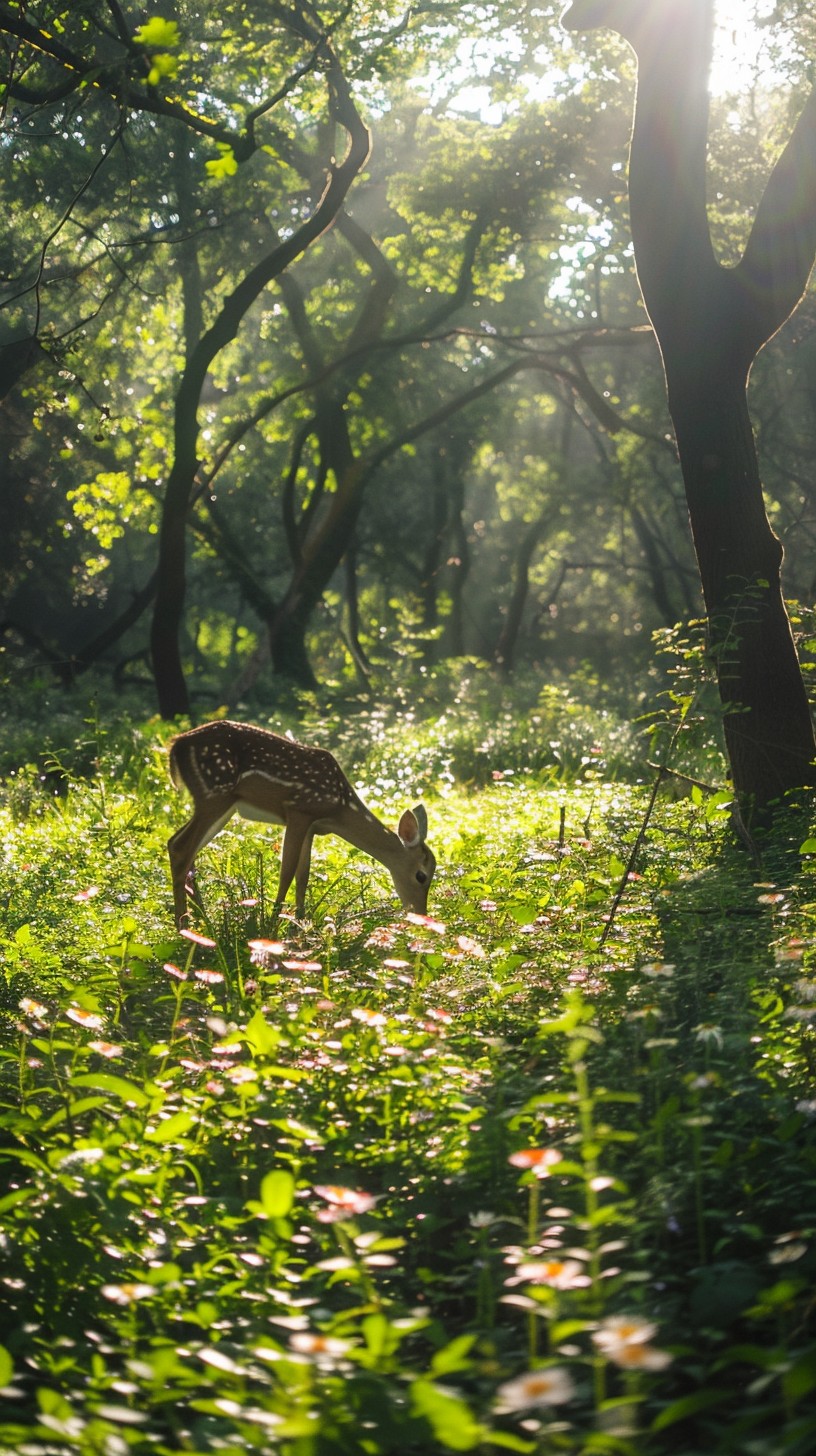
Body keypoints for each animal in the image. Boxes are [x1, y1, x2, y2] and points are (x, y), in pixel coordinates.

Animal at [167, 720, 436, 928]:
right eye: (421, 876)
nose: (421, 916)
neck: (338, 809)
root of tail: (176, 745)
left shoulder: (311, 827)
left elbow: (302, 875)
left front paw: (299, 926)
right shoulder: (298, 811)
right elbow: (286, 871)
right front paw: (273, 926)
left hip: (219, 803)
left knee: (178, 845)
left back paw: (204, 922)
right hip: (215, 793)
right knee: (182, 848)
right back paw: (184, 926)